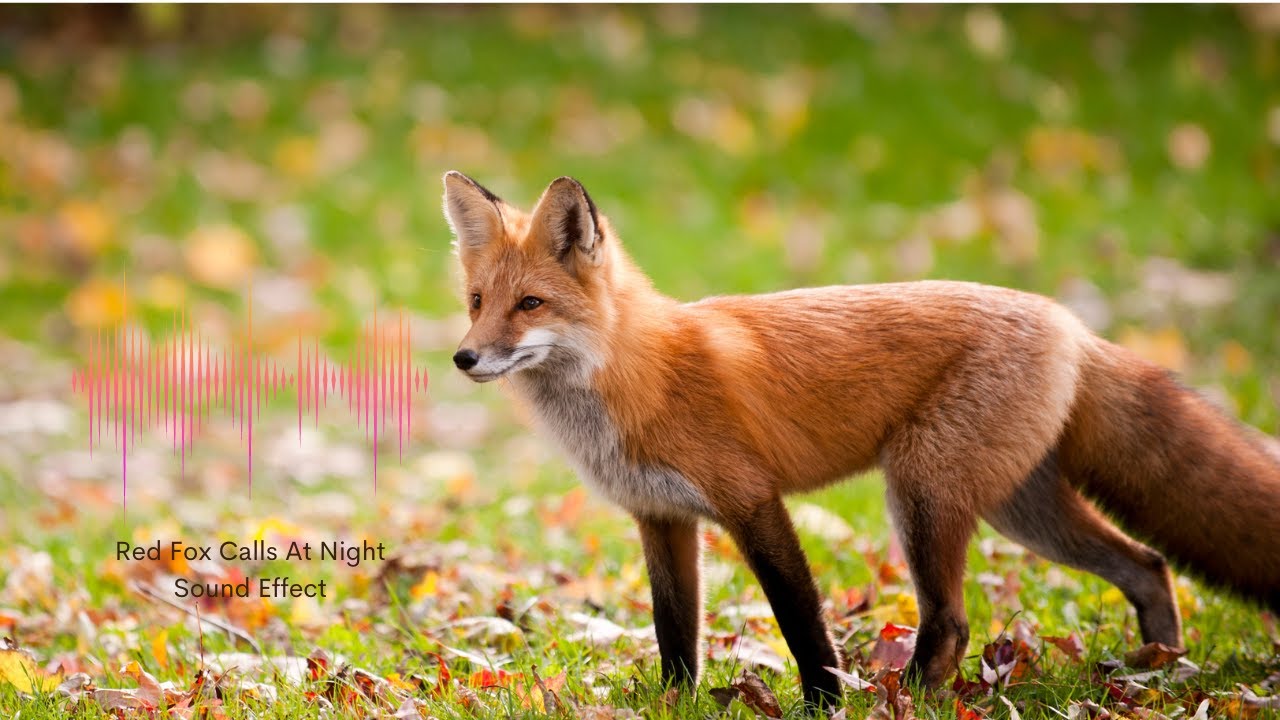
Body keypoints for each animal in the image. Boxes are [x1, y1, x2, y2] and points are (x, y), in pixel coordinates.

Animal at [442, 170, 1280, 709]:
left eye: (530, 304)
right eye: (478, 302)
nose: (464, 358)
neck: (634, 375)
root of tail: (1068, 321)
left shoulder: (751, 501)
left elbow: (800, 619)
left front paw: (823, 701)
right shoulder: (662, 518)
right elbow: (674, 630)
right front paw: (677, 703)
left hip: (922, 493)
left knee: (953, 622)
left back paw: (906, 697)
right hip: (1021, 510)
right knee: (1148, 564)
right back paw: (1158, 668)